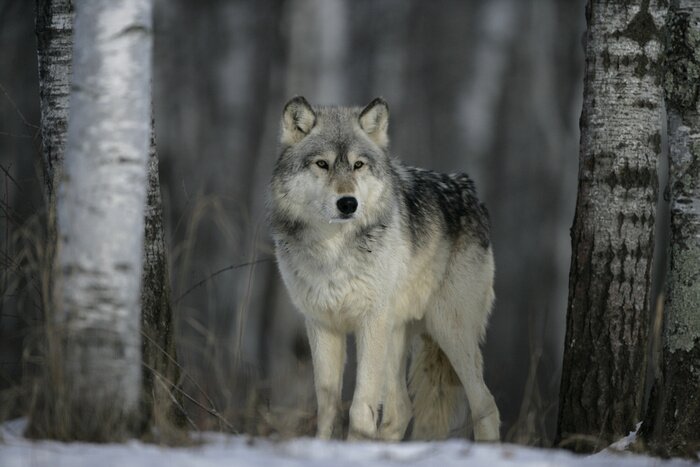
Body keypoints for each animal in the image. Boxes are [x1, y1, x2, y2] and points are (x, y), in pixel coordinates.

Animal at [269, 96, 500, 442]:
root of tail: (471, 192)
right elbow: (328, 408)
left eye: (358, 165)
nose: (348, 203)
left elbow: (359, 407)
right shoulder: (322, 324)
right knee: (401, 410)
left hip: (448, 329)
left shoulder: (370, 321)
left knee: (485, 403)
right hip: (395, 335)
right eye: (322, 164)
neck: (333, 249)